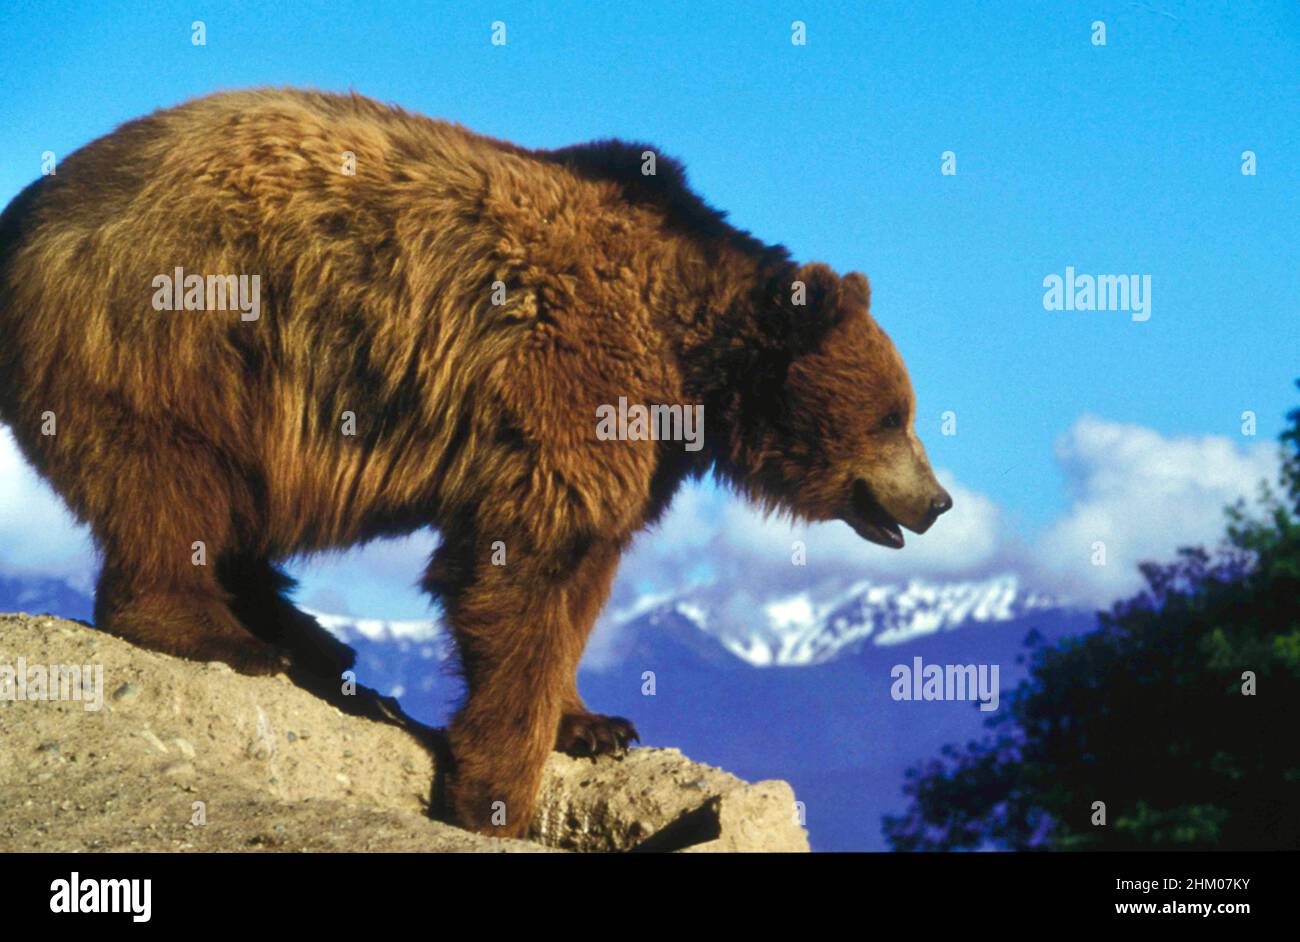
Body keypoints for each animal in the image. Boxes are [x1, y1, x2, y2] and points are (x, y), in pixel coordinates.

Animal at [0, 88, 952, 838]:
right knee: (172, 480)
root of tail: (29, 213)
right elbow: (520, 570)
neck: (694, 365)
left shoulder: (636, 443)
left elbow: (582, 580)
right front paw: (495, 794)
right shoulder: (571, 382)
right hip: (178, 330)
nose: (938, 501)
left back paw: (313, 640)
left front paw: (594, 723)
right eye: (895, 417)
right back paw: (224, 635)